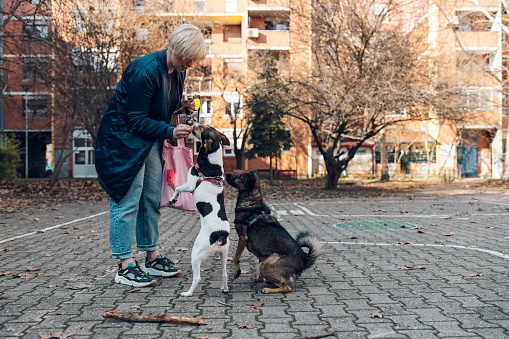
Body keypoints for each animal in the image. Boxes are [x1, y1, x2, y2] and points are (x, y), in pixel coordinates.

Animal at [169, 125, 230, 298]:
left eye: (203, 129)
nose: (191, 122)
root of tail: (221, 235)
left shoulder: (190, 185)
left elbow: (177, 188)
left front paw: (173, 199)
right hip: (224, 254)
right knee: (225, 274)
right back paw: (224, 288)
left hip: (196, 254)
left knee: (197, 278)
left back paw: (187, 293)